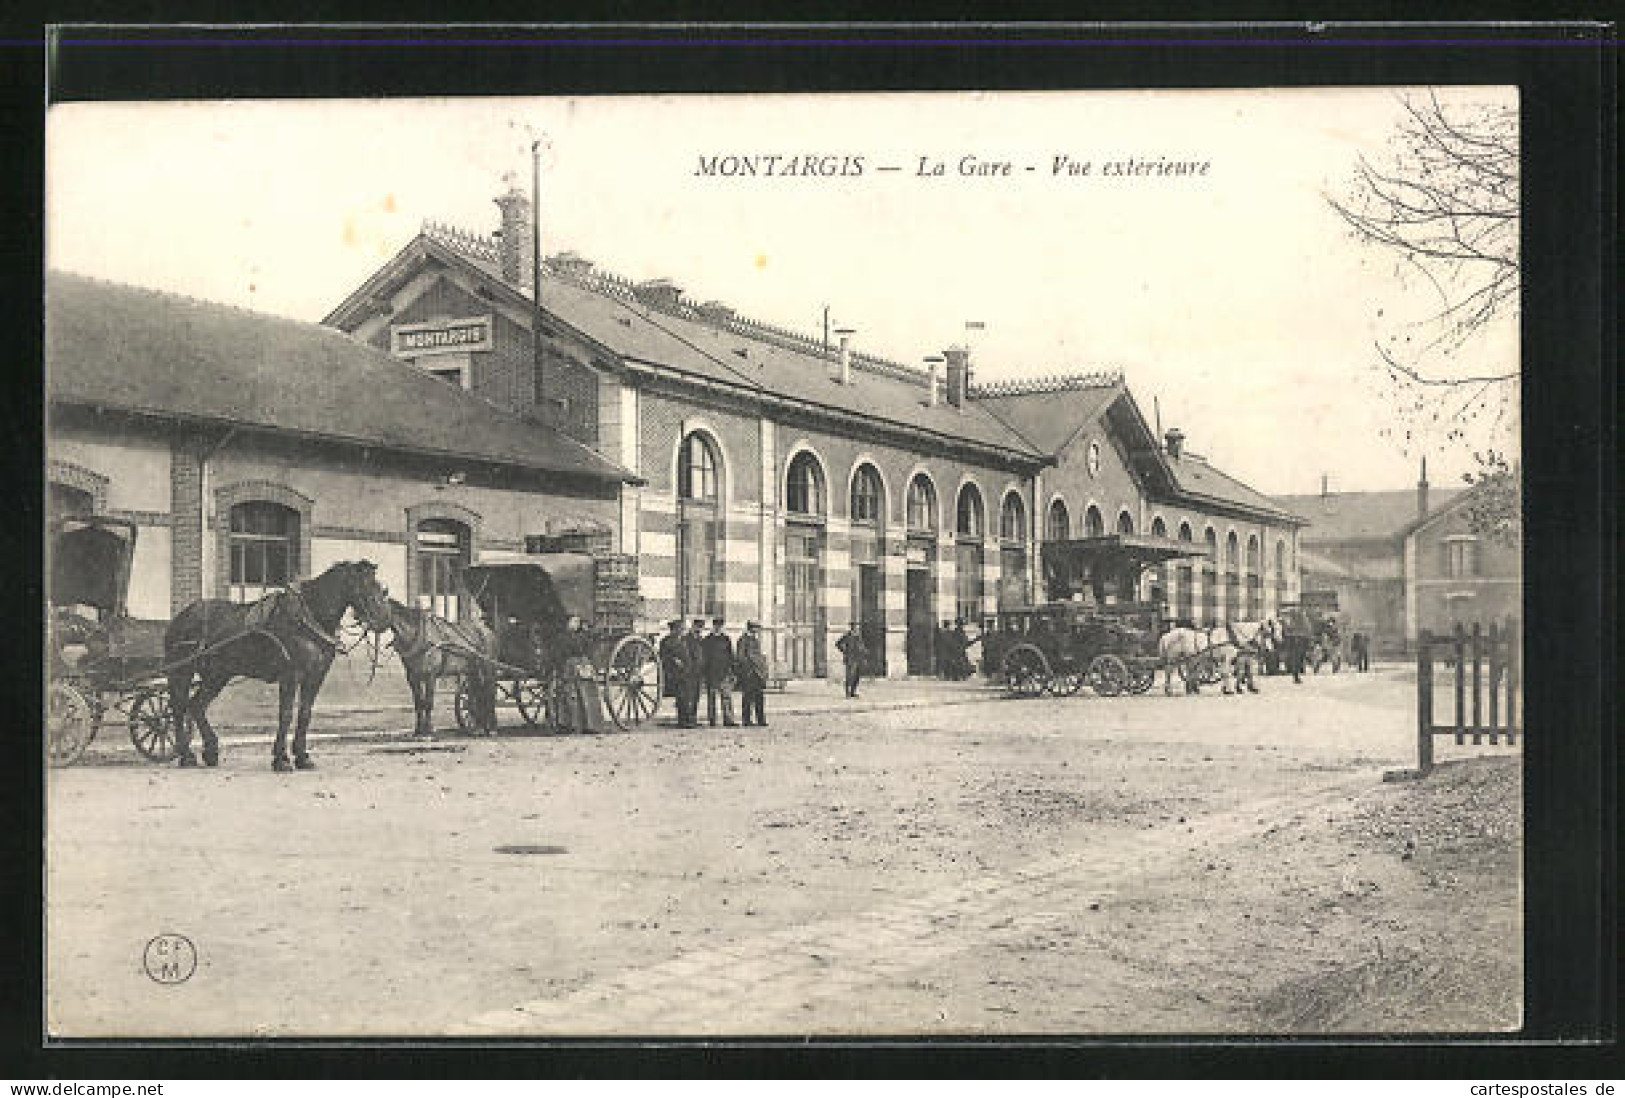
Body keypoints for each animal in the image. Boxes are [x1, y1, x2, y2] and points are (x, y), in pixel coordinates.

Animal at [162, 558, 393, 773]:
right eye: (364, 584)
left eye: (379, 585)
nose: (383, 619)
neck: (308, 618)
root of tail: (181, 617)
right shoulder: (291, 675)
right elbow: (286, 714)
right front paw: (281, 759)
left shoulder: (316, 676)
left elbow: (305, 714)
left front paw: (302, 757)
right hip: (182, 671)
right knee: (178, 707)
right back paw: (186, 755)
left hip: (217, 675)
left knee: (196, 706)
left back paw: (210, 751)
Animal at [385, 600, 500, 737]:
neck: (419, 635)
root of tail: (489, 631)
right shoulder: (412, 677)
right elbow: (418, 703)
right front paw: (418, 730)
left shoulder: (430, 675)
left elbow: (428, 702)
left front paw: (428, 731)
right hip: (473, 670)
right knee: (478, 694)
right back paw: (479, 727)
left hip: (488, 668)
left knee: (490, 692)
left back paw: (492, 728)